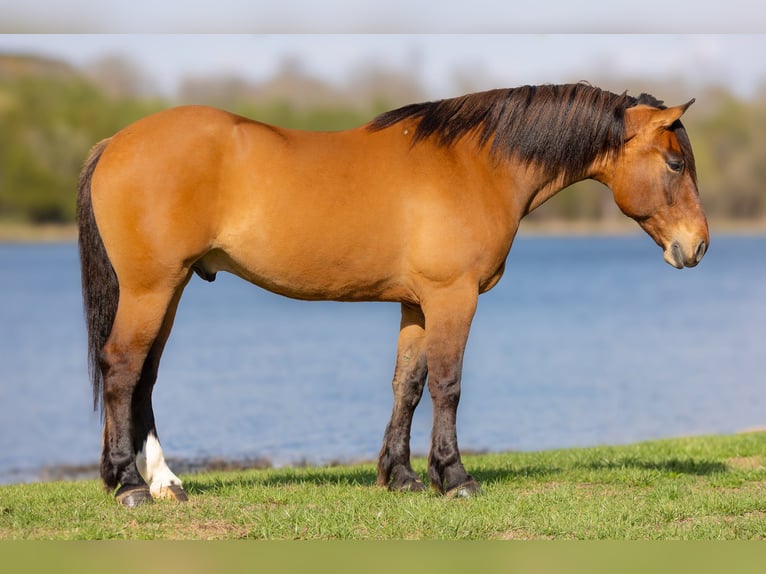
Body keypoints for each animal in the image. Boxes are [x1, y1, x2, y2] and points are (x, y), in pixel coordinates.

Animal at [77, 82, 709, 506]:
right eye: (675, 163)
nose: (697, 246)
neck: (473, 165)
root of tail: (114, 142)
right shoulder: (454, 298)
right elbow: (448, 384)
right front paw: (454, 477)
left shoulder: (416, 304)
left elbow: (409, 384)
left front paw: (400, 475)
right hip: (152, 288)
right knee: (123, 368)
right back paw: (129, 484)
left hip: (171, 288)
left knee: (145, 376)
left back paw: (163, 481)